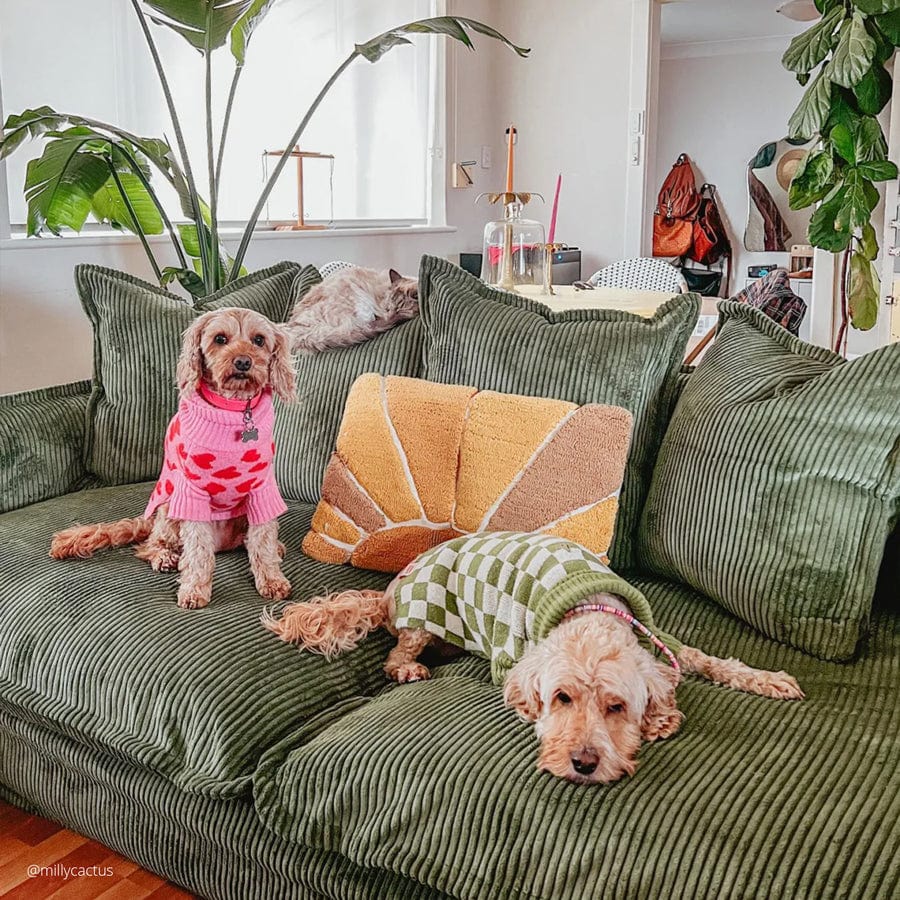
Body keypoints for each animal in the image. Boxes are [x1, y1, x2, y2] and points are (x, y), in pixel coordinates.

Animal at [50, 310, 296, 612]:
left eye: (259, 340)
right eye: (220, 339)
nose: (243, 361)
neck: (234, 411)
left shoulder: (262, 491)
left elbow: (262, 541)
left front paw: (272, 579)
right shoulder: (192, 494)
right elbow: (198, 552)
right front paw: (194, 589)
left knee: (247, 541)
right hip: (169, 509)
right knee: (151, 544)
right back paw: (164, 557)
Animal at [264, 532, 804, 784]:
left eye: (616, 706)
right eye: (561, 698)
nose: (583, 764)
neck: (592, 609)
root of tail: (389, 593)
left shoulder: (660, 641)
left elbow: (709, 660)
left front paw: (766, 679)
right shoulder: (512, 662)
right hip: (425, 606)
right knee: (396, 653)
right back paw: (411, 666)